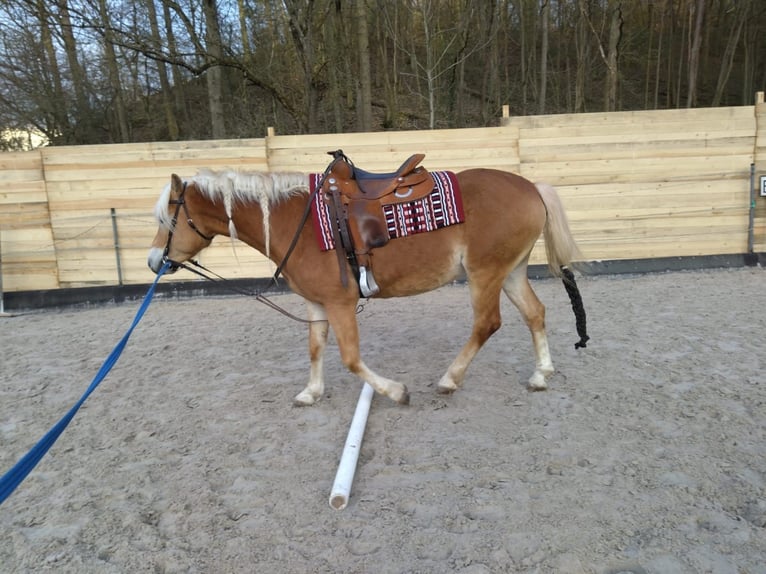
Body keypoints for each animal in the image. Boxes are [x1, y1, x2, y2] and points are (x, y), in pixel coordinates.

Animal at [147, 164, 592, 408]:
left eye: (167, 219)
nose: (154, 261)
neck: (300, 222)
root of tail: (531, 187)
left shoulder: (340, 304)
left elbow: (351, 358)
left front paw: (396, 392)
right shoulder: (316, 304)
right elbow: (315, 348)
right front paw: (311, 392)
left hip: (486, 274)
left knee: (487, 323)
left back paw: (449, 379)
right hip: (511, 271)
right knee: (535, 313)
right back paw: (541, 374)